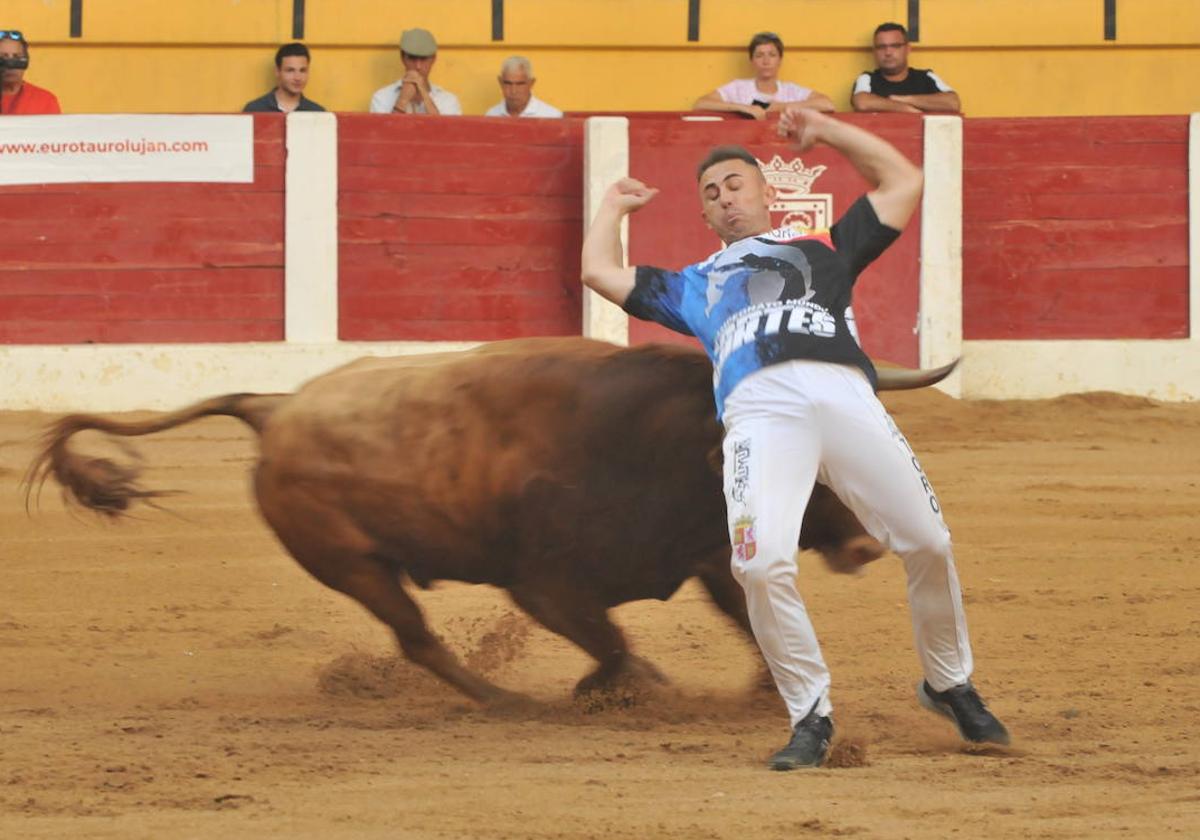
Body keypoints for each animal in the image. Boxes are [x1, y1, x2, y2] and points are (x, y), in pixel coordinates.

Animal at [28, 333, 955, 710]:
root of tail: (274, 409)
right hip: (353, 564)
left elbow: (741, 613)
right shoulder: (543, 586)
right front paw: (626, 688)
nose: (867, 540)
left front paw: (767, 686)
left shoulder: (696, 551)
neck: (655, 442)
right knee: (415, 638)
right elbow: (614, 642)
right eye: (808, 459)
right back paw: (505, 699)